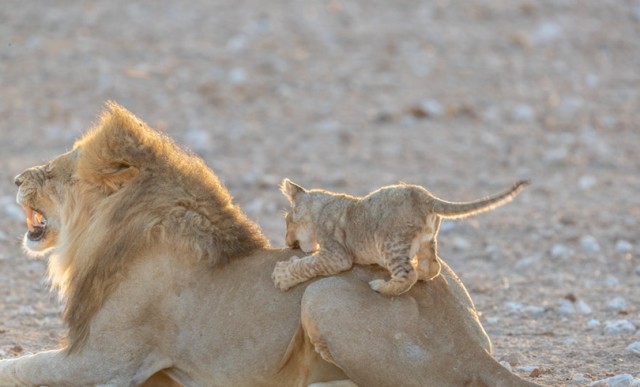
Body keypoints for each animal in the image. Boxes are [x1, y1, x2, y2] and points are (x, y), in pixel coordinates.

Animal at [1, 104, 540, 387]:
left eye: (53, 172)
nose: (17, 178)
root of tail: (471, 348)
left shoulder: (109, 361)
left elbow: (20, 368)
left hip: (324, 297)